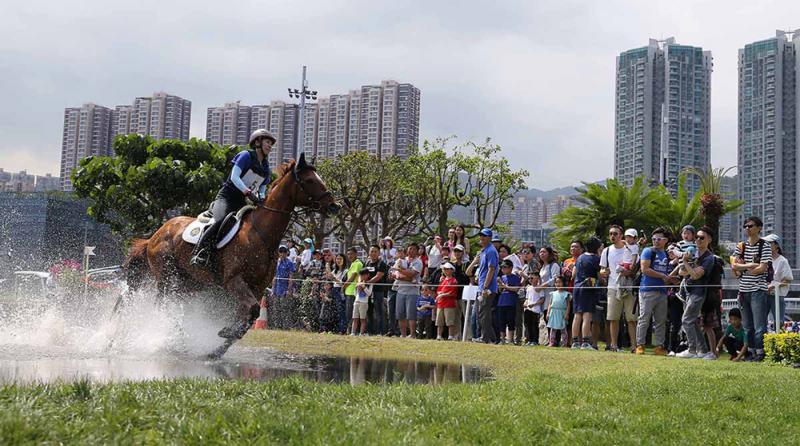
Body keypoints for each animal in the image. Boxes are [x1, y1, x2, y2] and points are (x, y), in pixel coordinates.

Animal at [122, 154, 338, 358]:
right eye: (309, 180)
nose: (334, 206)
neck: (261, 234)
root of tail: (155, 236)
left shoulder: (258, 287)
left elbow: (249, 317)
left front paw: (219, 347)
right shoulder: (234, 281)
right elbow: (251, 311)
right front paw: (226, 333)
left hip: (189, 283)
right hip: (167, 278)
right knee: (164, 306)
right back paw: (165, 340)